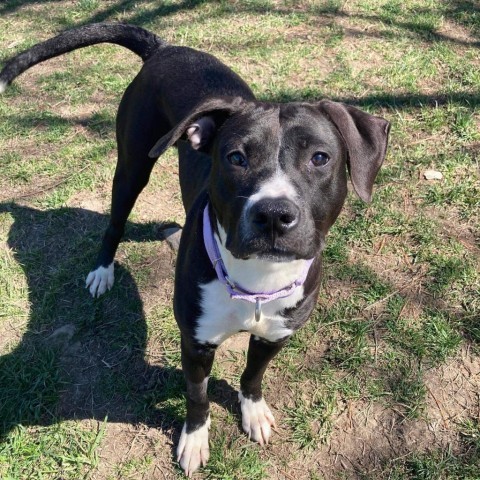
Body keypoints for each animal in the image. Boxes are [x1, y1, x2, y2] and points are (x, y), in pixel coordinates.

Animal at [0, 24, 390, 478]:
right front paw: (194, 440)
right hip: (133, 164)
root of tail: (164, 47)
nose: (274, 214)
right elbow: (198, 396)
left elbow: (252, 376)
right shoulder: (196, 344)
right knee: (115, 222)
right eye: (236, 157)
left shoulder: (275, 334)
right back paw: (102, 270)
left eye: (320, 158)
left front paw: (253, 412)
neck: (256, 282)